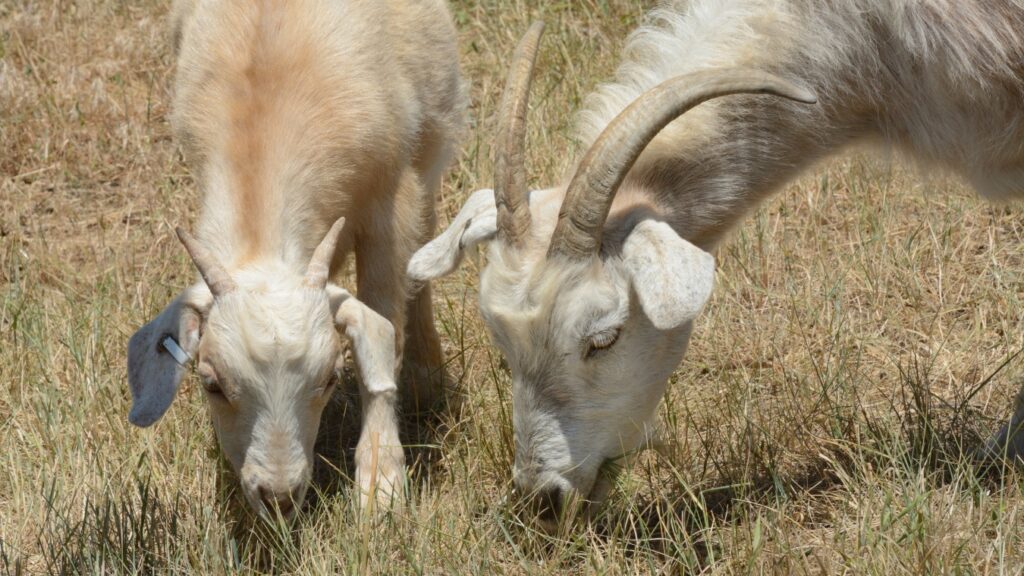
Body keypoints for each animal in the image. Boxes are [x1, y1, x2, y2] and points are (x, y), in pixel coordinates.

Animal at [126, 0, 468, 518]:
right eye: (210, 384)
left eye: (329, 379)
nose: (279, 497)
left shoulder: (391, 200)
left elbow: (385, 325)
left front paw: (380, 483)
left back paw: (424, 380)